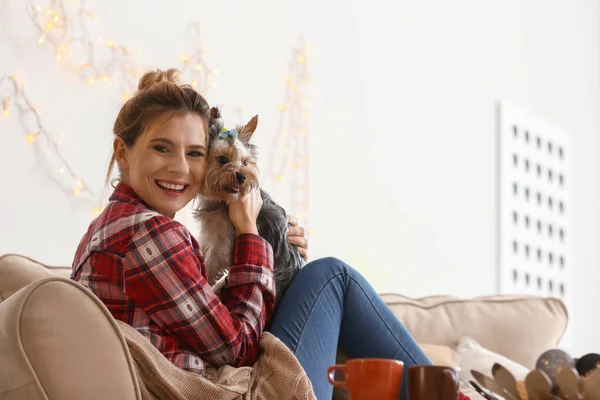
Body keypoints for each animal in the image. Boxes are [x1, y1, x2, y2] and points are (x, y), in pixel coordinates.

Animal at [195, 107, 304, 306]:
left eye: (245, 162)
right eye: (222, 159)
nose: (241, 176)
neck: (223, 199)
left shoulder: (221, 242)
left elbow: (212, 262)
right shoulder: (211, 232)